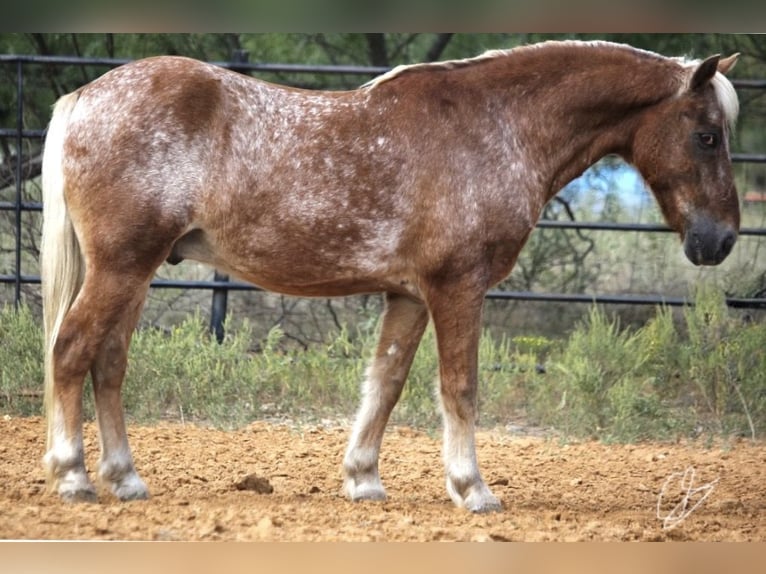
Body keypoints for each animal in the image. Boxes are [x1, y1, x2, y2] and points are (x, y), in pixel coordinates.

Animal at [40, 40, 740, 512]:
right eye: (707, 135)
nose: (723, 239)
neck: (495, 127)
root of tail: (85, 98)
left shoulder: (408, 295)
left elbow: (386, 384)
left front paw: (363, 480)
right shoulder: (458, 287)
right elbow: (460, 387)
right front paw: (473, 489)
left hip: (136, 272)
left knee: (108, 364)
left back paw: (126, 479)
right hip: (122, 267)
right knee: (71, 351)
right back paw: (73, 477)